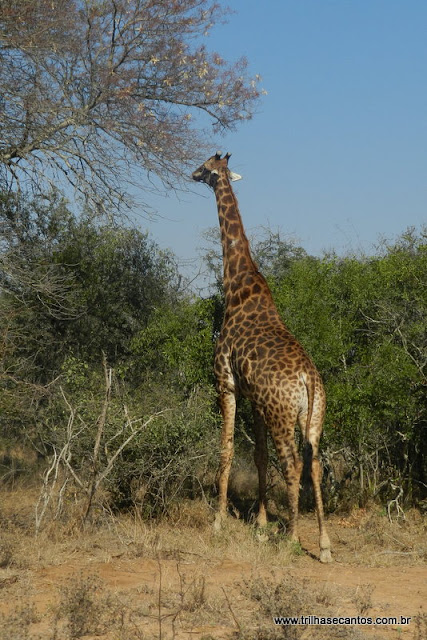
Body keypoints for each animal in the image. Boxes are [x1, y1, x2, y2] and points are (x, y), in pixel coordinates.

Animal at [193, 152, 334, 564]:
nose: (191, 174)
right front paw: (258, 525)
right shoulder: (256, 399)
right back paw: (323, 544)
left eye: (204, 165)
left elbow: (226, 450)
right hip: (312, 415)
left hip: (282, 414)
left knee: (293, 463)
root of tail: (307, 380)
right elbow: (256, 456)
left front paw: (219, 522)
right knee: (314, 463)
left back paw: (292, 538)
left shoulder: (226, 383)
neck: (237, 286)